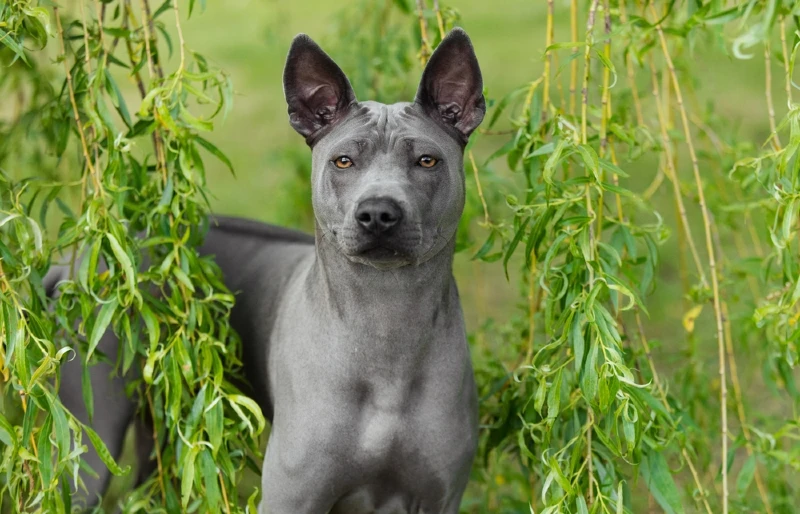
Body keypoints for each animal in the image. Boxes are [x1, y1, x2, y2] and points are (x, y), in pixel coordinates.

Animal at [56, 27, 484, 512]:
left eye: (427, 161)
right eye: (343, 161)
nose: (378, 213)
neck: (387, 325)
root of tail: (78, 260)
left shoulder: (439, 497)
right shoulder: (292, 496)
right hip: (92, 448)